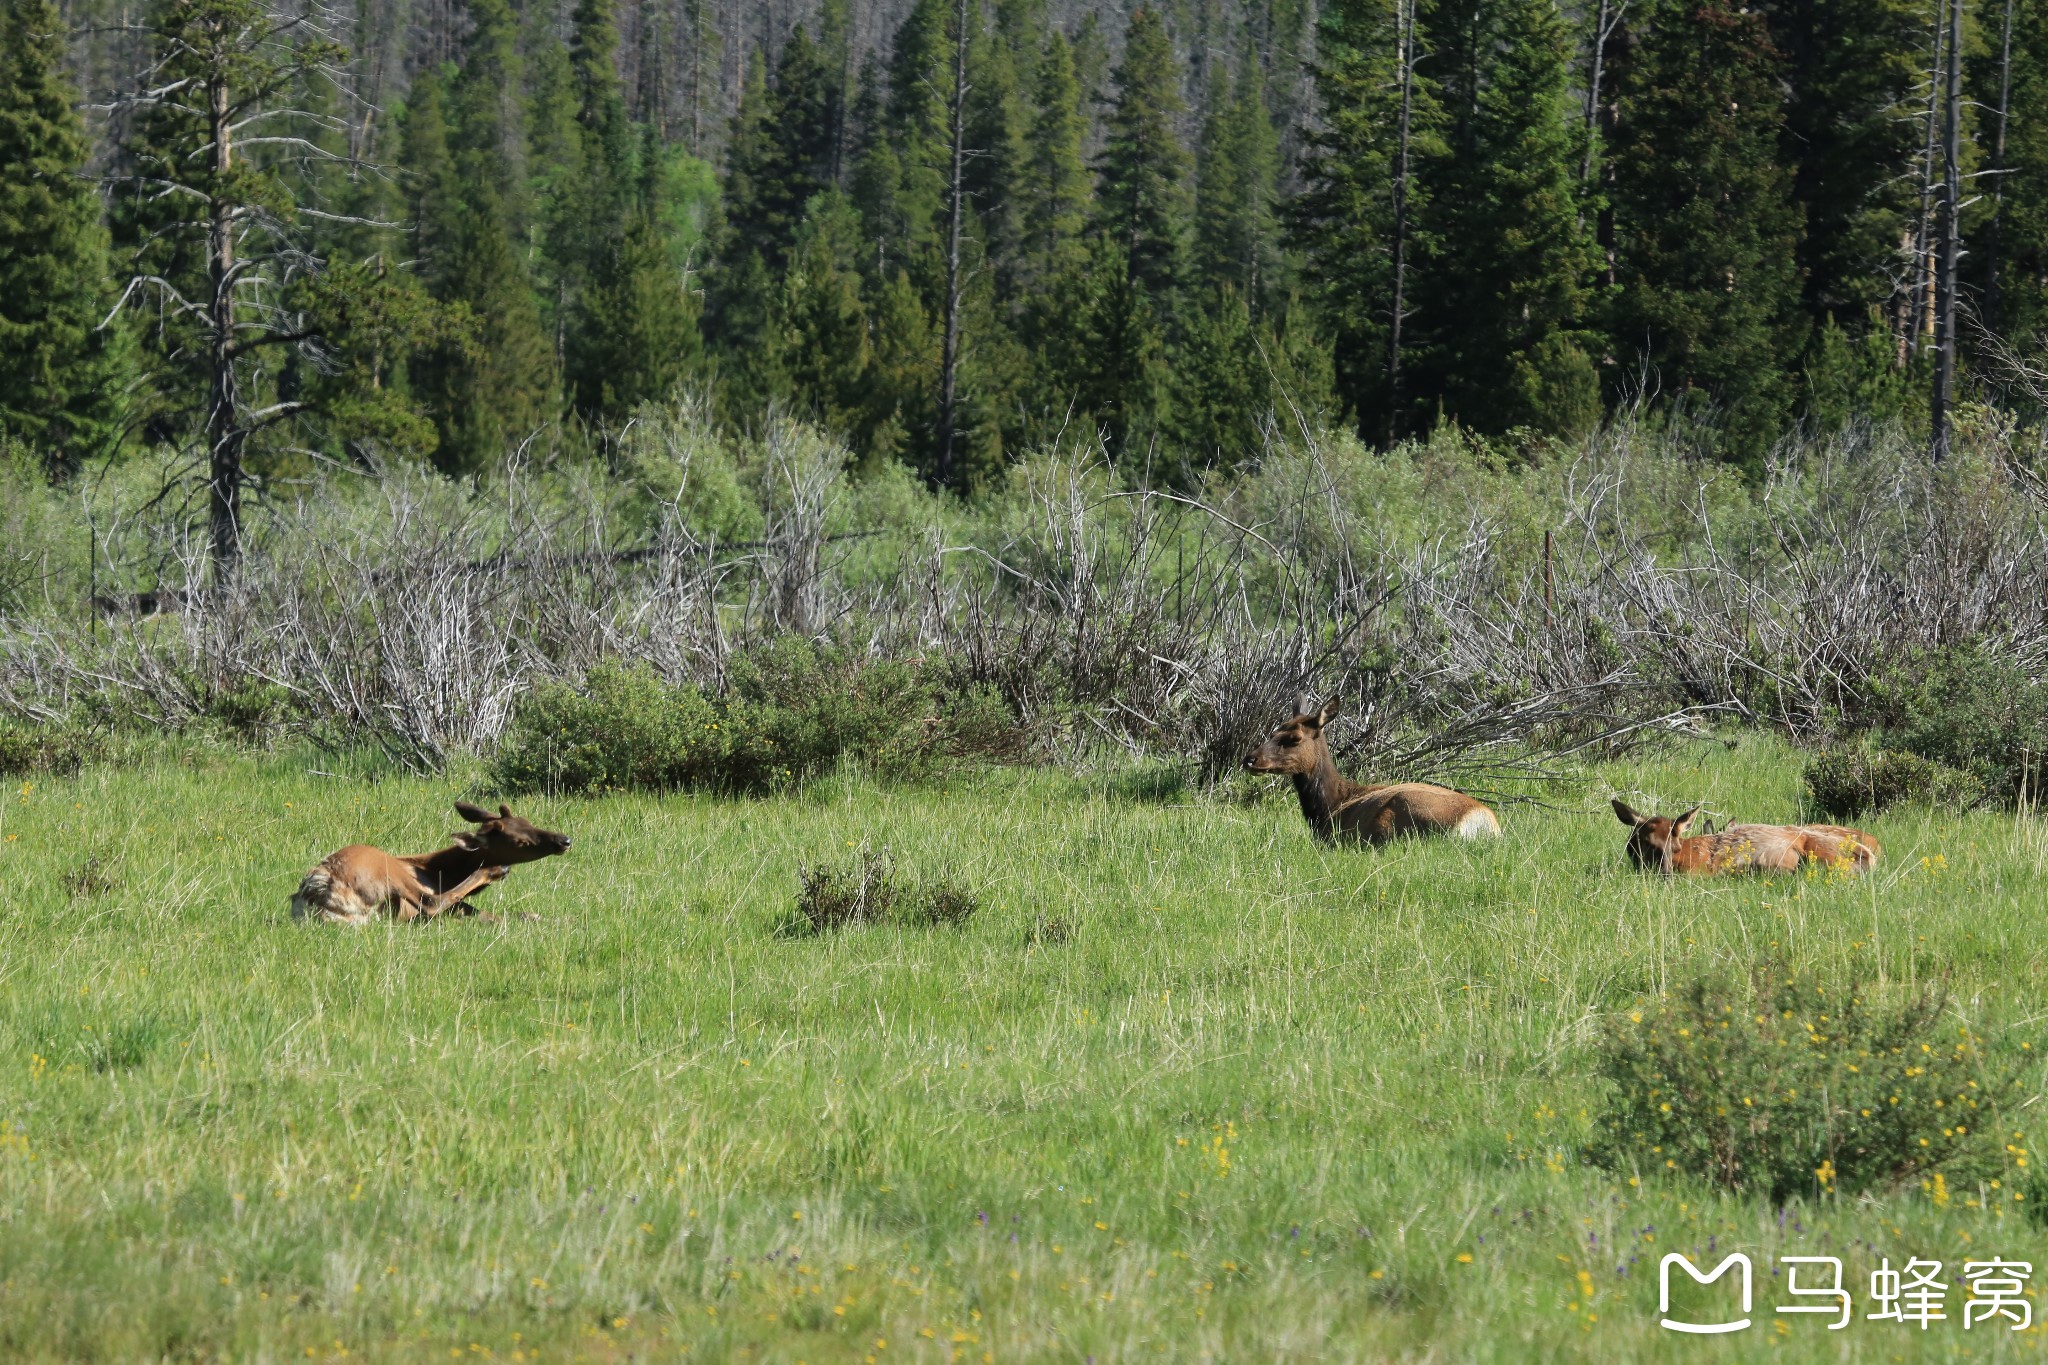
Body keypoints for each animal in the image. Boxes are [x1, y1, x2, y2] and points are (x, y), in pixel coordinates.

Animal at [286, 802, 569, 929]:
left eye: (528, 821)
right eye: (520, 841)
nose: (564, 840)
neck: (442, 872)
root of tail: (321, 891)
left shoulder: (461, 908)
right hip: (385, 868)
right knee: (431, 903)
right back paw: (492, 871)